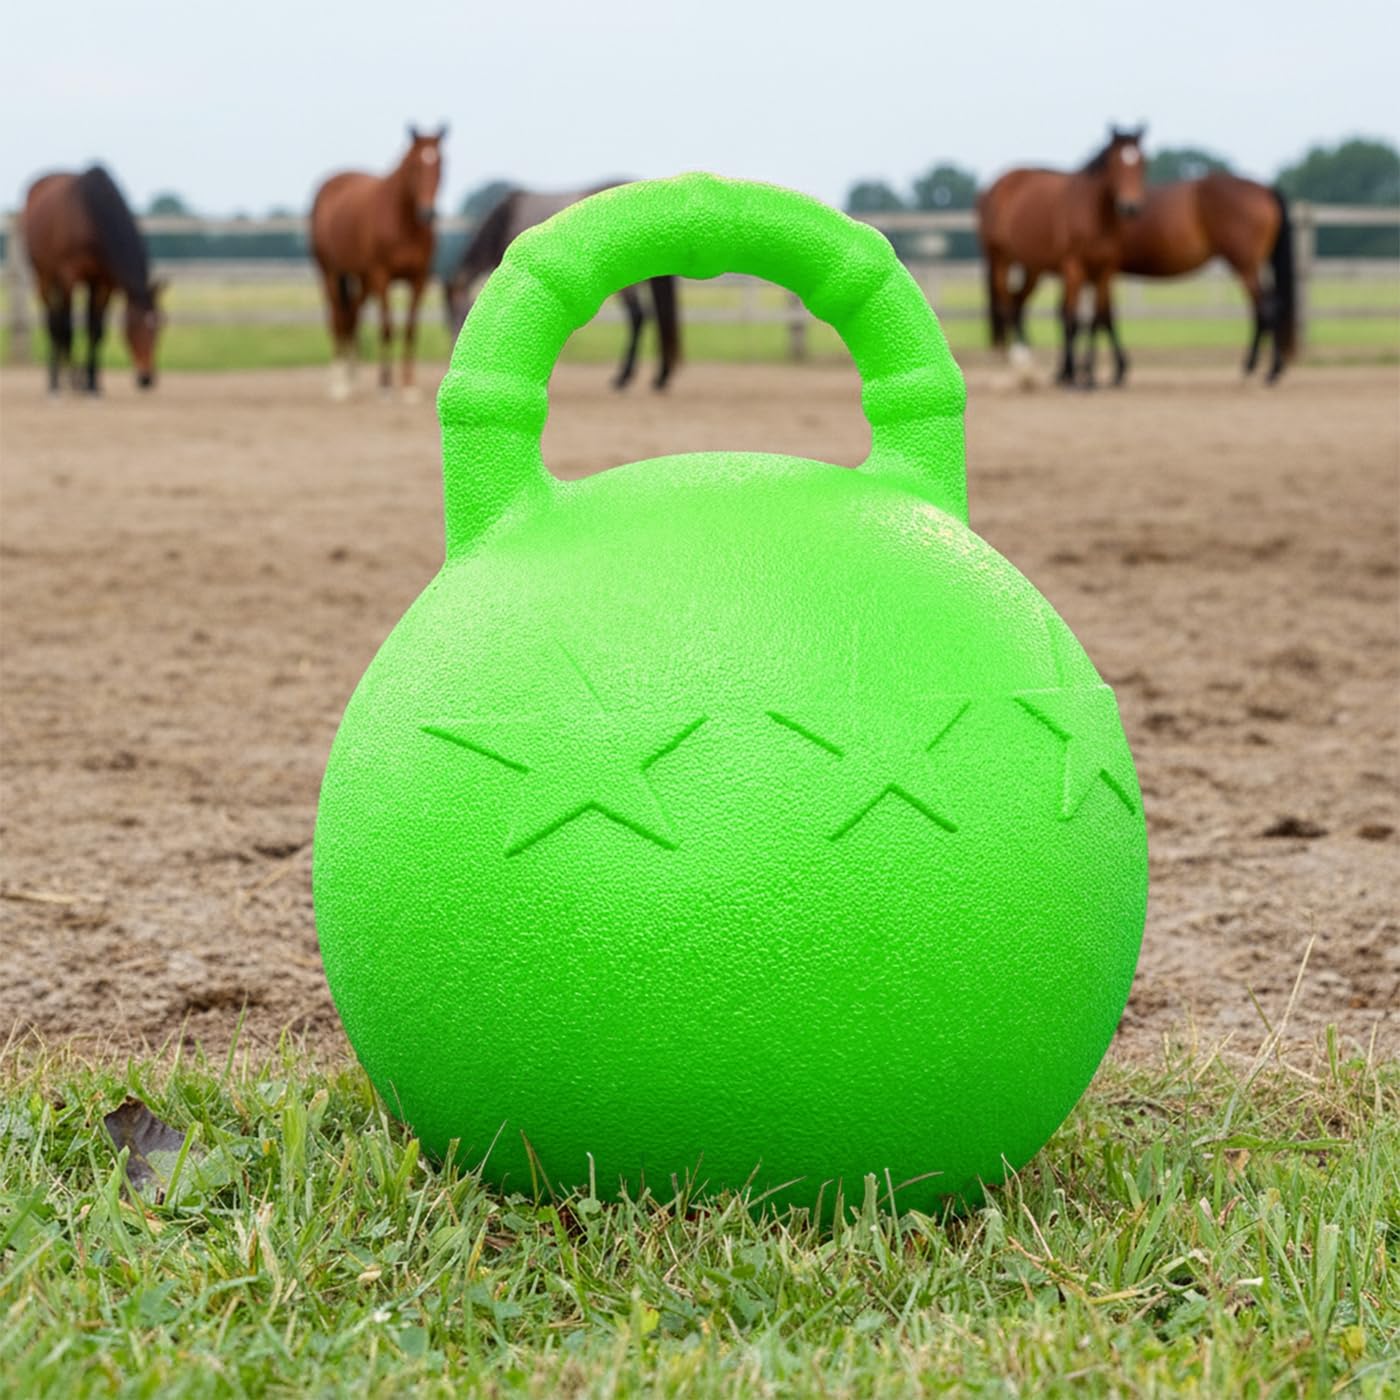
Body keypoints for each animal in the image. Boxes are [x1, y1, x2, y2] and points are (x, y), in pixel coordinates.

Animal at [22, 166, 165, 394]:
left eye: (160, 328)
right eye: (133, 326)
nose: (146, 379)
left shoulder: (104, 282)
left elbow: (96, 330)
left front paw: (92, 384)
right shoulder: (69, 276)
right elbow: (67, 328)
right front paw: (73, 382)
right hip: (44, 276)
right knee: (54, 322)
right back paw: (56, 382)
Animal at [310, 125, 446, 400]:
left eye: (441, 164)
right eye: (414, 165)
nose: (427, 213)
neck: (404, 223)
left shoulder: (419, 279)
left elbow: (410, 330)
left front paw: (408, 386)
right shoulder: (382, 276)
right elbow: (387, 328)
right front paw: (385, 384)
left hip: (363, 279)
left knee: (352, 315)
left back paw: (351, 375)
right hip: (331, 273)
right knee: (338, 318)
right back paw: (339, 382)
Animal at [443, 183, 681, 390]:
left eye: (455, 312)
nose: (454, 342)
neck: (504, 218)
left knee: (638, 316)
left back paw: (624, 377)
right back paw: (660, 376)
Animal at [978, 127, 1148, 386]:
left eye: (1143, 162)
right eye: (1115, 163)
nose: (1130, 206)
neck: (1096, 215)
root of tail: (994, 186)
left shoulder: (1105, 270)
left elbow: (1099, 318)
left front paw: (1089, 372)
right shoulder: (1073, 267)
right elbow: (1073, 318)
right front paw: (1078, 376)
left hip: (1033, 268)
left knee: (1018, 302)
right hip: (1000, 259)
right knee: (1006, 301)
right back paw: (1020, 357)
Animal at [1094, 174, 1296, 382]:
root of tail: (1266, 190)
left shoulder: (1103, 271)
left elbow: (1103, 317)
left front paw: (1118, 370)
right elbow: (1106, 315)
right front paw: (1118, 369)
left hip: (1246, 265)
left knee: (1267, 308)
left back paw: (1271, 369)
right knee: (1263, 308)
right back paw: (1254, 365)